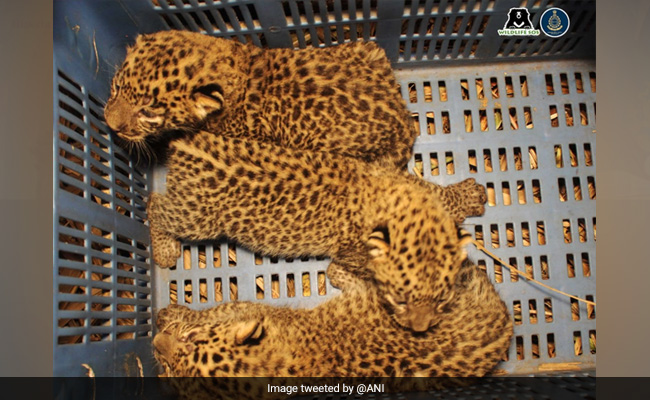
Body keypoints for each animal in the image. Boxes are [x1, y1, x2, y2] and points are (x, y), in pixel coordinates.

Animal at [147, 130, 487, 332]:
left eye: (443, 299)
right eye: (399, 300)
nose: (420, 329)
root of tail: (187, 143)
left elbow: (432, 191)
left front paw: (465, 197)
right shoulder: (348, 256)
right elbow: (341, 272)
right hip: (196, 217)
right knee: (156, 206)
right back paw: (164, 249)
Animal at [152, 260, 513, 399]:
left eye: (190, 339)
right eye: (170, 370)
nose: (155, 342)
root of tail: (506, 325)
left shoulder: (254, 310)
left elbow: (219, 309)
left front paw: (170, 313)